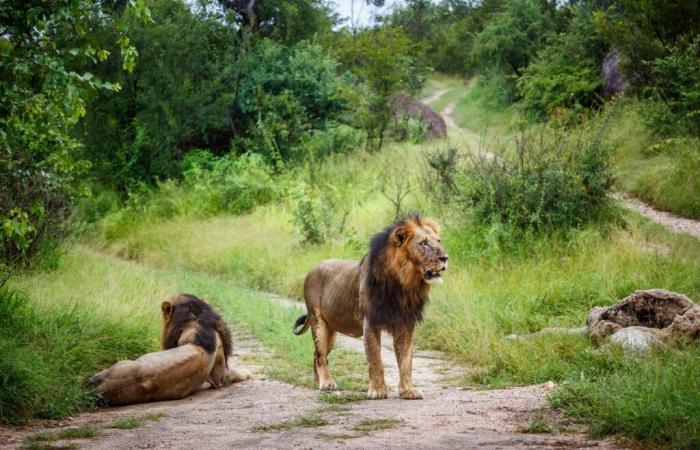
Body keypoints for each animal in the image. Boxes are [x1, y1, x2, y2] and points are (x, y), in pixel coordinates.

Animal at [292, 214, 448, 400]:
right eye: (423, 243)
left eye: (438, 241)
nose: (445, 258)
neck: (404, 285)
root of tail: (312, 269)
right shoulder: (371, 322)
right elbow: (375, 359)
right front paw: (378, 391)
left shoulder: (406, 324)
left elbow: (406, 361)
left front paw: (408, 390)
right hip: (318, 323)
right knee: (321, 355)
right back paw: (327, 383)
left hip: (331, 332)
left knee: (316, 354)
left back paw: (317, 383)